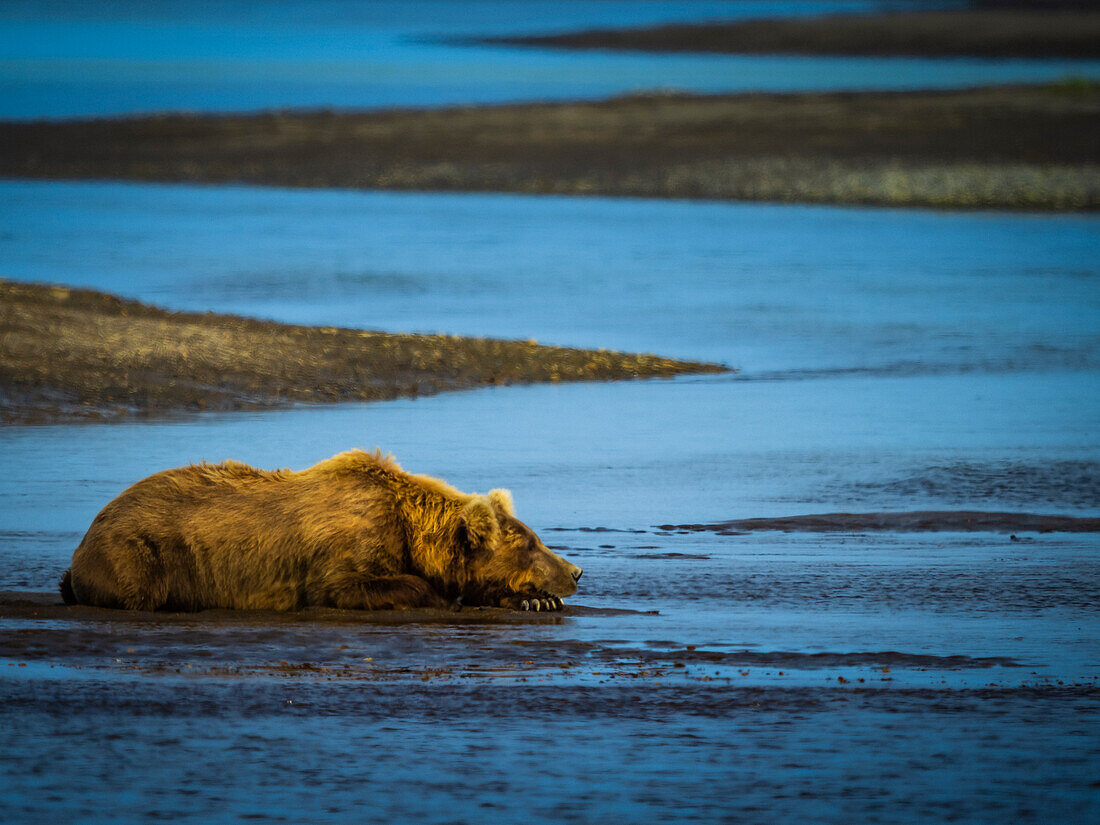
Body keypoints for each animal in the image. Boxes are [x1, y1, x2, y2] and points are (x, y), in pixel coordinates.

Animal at [59, 453, 580, 616]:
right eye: (531, 543)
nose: (574, 571)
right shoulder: (347, 546)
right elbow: (350, 585)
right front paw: (437, 594)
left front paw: (536, 600)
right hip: (140, 551)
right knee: (139, 588)